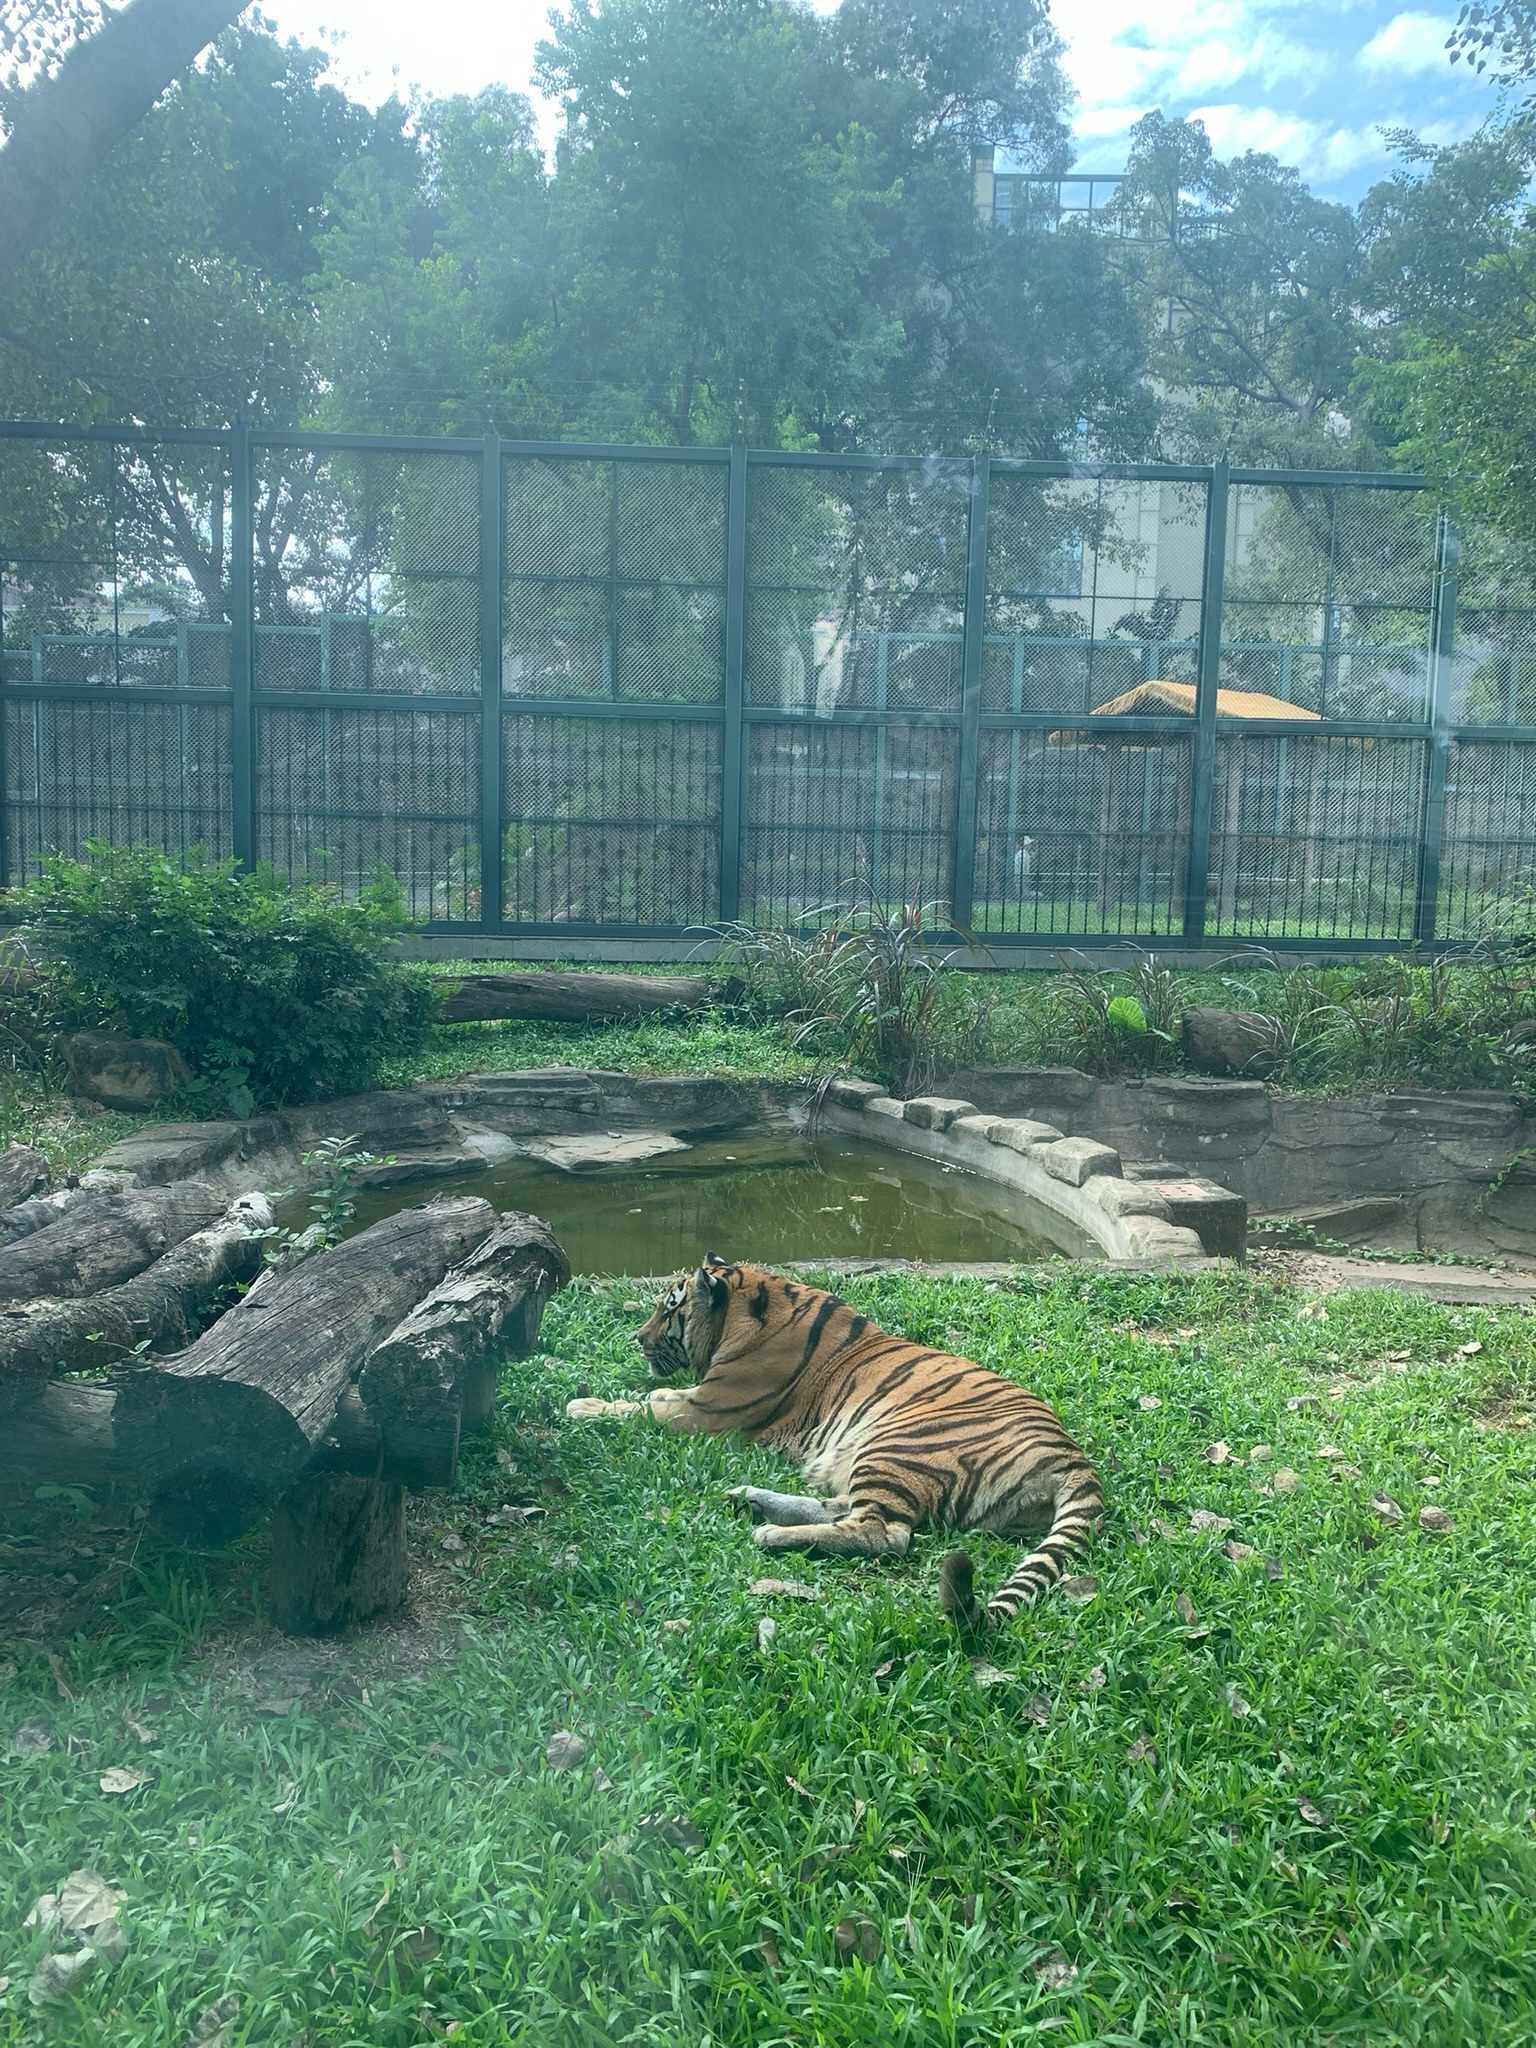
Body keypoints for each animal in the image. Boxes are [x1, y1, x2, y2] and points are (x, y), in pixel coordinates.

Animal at [565, 1253, 1103, 1633]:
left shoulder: (708, 1412)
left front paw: (582, 1407)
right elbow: (655, 1397)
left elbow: (641, 1409)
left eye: (668, 1308)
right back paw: (749, 1500)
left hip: (897, 1446)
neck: (751, 1306)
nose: (637, 1338)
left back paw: (771, 1533)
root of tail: (1072, 1457)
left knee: (883, 1532)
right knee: (842, 1508)